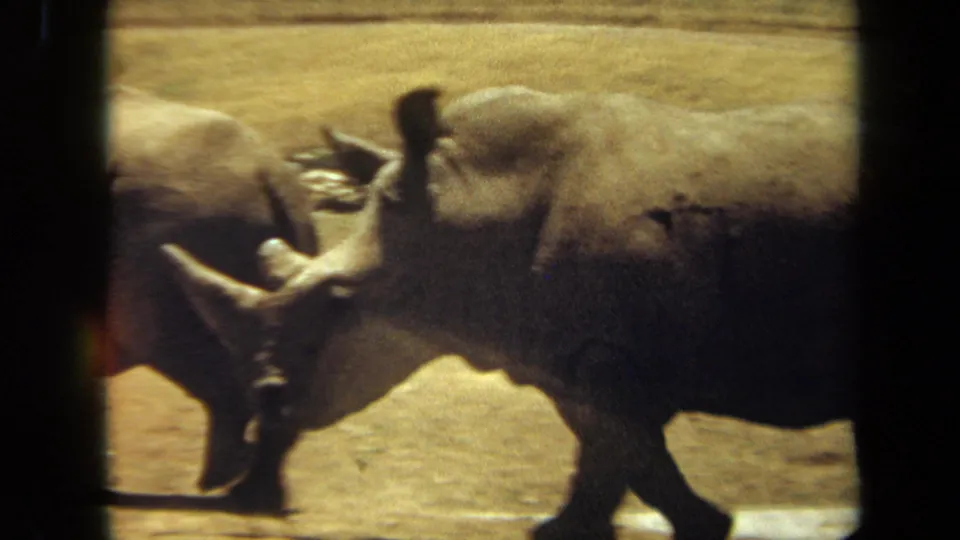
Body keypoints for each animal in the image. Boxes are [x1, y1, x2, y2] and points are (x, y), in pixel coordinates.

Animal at [161, 85, 858, 539]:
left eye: (336, 303)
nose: (264, 399)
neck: (464, 210)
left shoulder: (607, 354)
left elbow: (629, 450)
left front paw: (709, 524)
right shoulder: (564, 352)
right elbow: (611, 453)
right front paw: (572, 529)